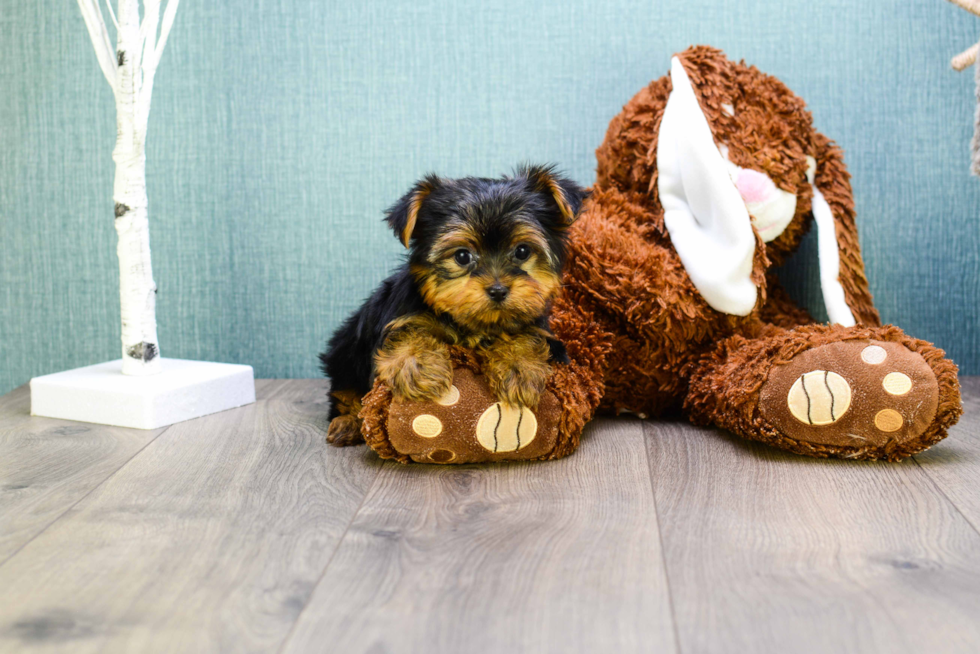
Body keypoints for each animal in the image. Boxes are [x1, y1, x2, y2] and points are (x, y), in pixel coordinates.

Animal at [318, 167, 584, 448]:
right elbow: (408, 332)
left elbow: (527, 334)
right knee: (345, 393)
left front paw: (519, 367)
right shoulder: (402, 315)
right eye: (462, 256)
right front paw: (419, 367)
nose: (498, 290)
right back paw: (347, 423)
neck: (474, 324)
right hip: (344, 352)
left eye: (522, 251)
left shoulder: (538, 326)